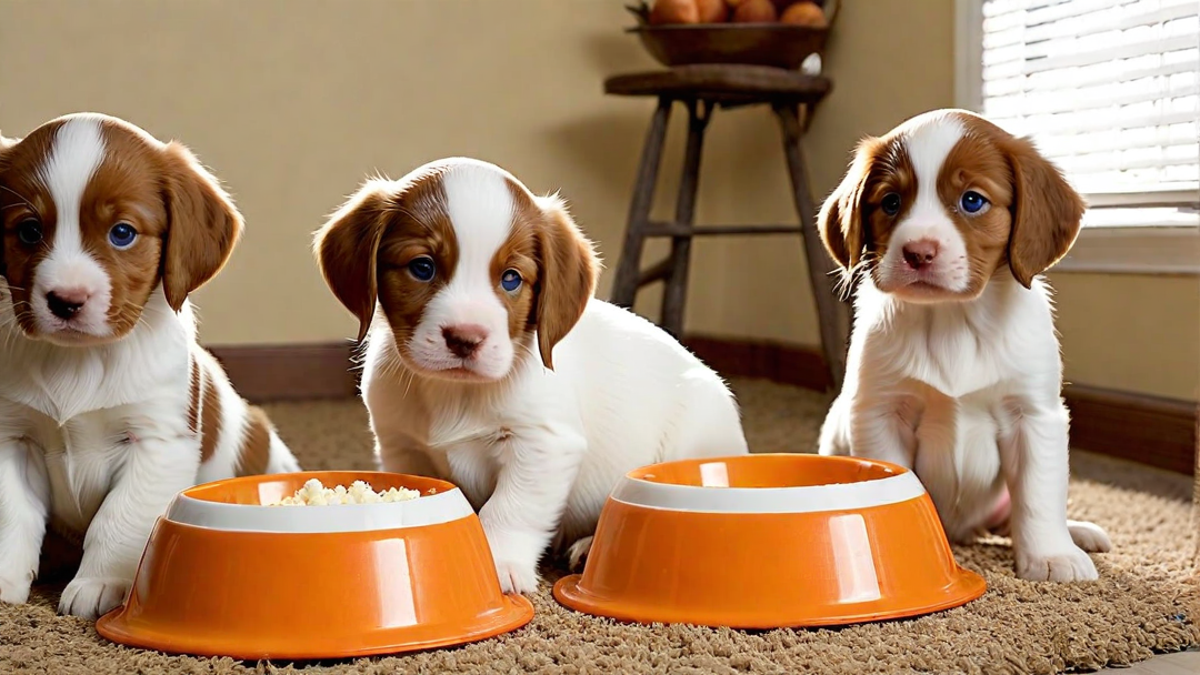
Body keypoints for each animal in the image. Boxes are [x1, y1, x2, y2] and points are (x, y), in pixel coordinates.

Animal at [0, 112, 300, 619]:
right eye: (28, 232)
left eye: (122, 233)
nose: (65, 300)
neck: (81, 360)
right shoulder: (12, 438)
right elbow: (13, 516)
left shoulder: (158, 442)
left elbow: (117, 518)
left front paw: (99, 583)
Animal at [314, 156, 744, 588]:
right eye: (423, 267)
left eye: (511, 279)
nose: (465, 338)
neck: (456, 393)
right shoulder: (403, 447)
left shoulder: (544, 444)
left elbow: (511, 509)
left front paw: (498, 563)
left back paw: (591, 544)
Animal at [816, 109, 1113, 578]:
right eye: (890, 202)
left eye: (972, 200)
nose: (918, 252)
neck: (953, 319)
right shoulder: (882, 413)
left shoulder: (1033, 415)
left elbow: (1038, 495)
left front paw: (1050, 556)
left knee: (1016, 514)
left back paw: (1076, 533)